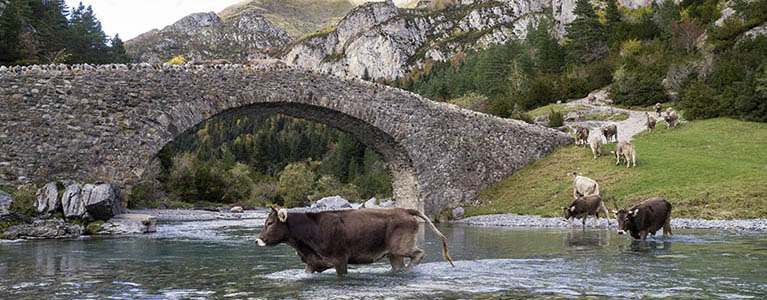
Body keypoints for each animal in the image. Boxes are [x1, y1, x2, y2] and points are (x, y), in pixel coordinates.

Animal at [256, 206, 456, 276]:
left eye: (270, 223)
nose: (258, 240)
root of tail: (405, 209)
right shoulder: (312, 262)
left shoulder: (340, 259)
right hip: (393, 253)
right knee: (400, 263)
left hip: (401, 246)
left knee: (419, 253)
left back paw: (409, 270)